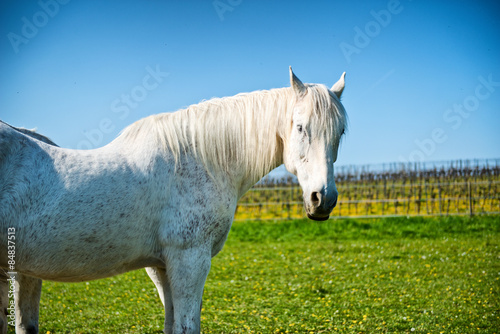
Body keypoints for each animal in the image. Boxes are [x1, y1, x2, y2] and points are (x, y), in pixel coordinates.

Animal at [0, 66, 346, 332]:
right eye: (300, 127)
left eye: (340, 132)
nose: (323, 199)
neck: (198, 160)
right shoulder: (189, 259)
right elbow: (187, 325)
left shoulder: (162, 266)